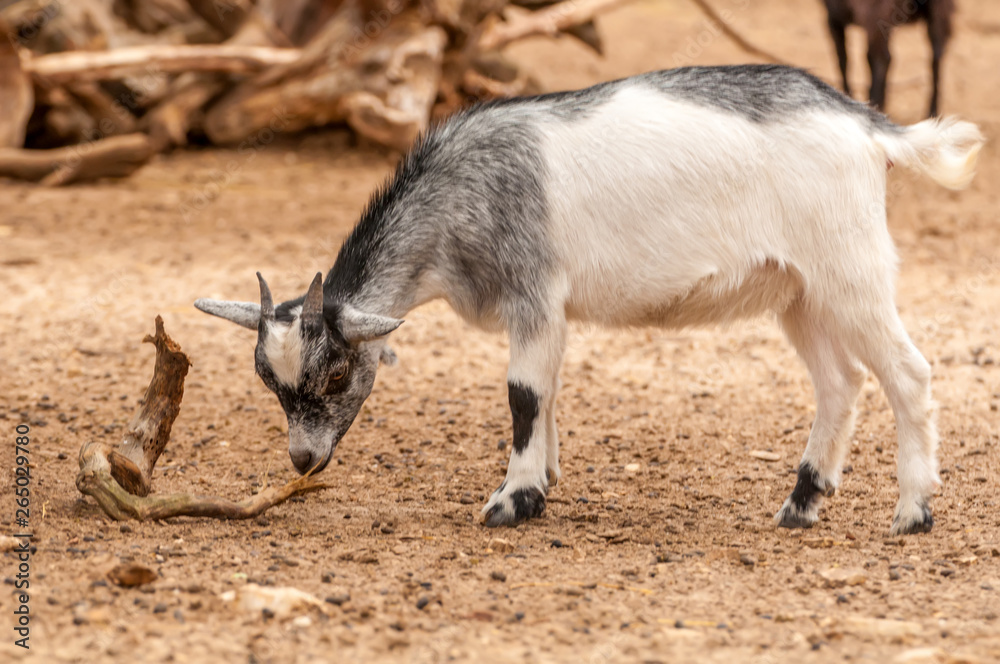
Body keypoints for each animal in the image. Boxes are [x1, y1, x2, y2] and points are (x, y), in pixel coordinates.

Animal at [197, 65, 984, 536]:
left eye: (336, 374)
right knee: (841, 383)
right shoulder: (548, 314)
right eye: (269, 383)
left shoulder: (534, 295)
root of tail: (868, 127)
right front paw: (543, 480)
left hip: (849, 271)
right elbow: (546, 395)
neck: (459, 194)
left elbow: (521, 395)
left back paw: (913, 510)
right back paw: (802, 502)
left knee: (908, 373)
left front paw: (513, 500)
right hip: (800, 292)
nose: (303, 460)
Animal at [824, 0, 956, 116]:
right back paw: (932, 113)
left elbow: (842, 59)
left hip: (875, 13)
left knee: (881, 59)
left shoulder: (834, 17)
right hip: (938, 11)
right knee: (936, 56)